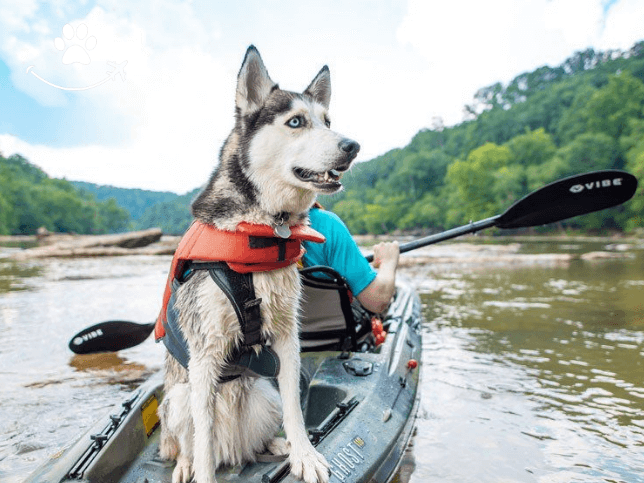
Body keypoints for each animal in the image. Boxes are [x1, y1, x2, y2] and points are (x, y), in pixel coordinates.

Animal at [158, 46, 360, 483]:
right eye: (296, 121)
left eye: (327, 121)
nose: (353, 145)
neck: (263, 227)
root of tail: (234, 452)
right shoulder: (205, 354)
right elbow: (202, 440)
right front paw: (201, 472)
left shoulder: (286, 334)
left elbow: (295, 409)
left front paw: (304, 454)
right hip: (179, 398)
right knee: (191, 442)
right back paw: (185, 463)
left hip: (263, 392)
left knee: (260, 432)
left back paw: (274, 446)